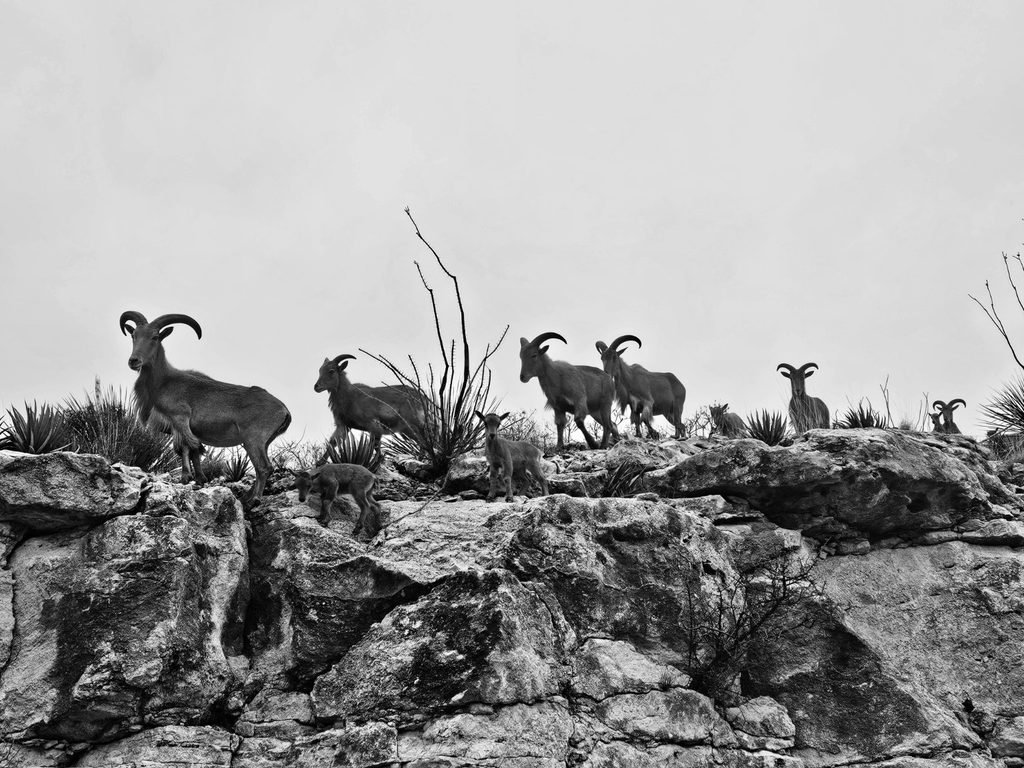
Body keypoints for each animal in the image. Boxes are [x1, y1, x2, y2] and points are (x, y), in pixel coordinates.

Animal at [119, 310, 291, 500]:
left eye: (155, 337)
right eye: (134, 335)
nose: (134, 361)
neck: (165, 381)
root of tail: (284, 410)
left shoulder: (179, 418)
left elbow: (188, 447)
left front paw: (188, 478)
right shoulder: (180, 427)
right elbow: (190, 449)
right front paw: (198, 479)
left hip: (254, 439)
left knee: (263, 467)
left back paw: (254, 500)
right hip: (265, 442)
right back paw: (247, 497)